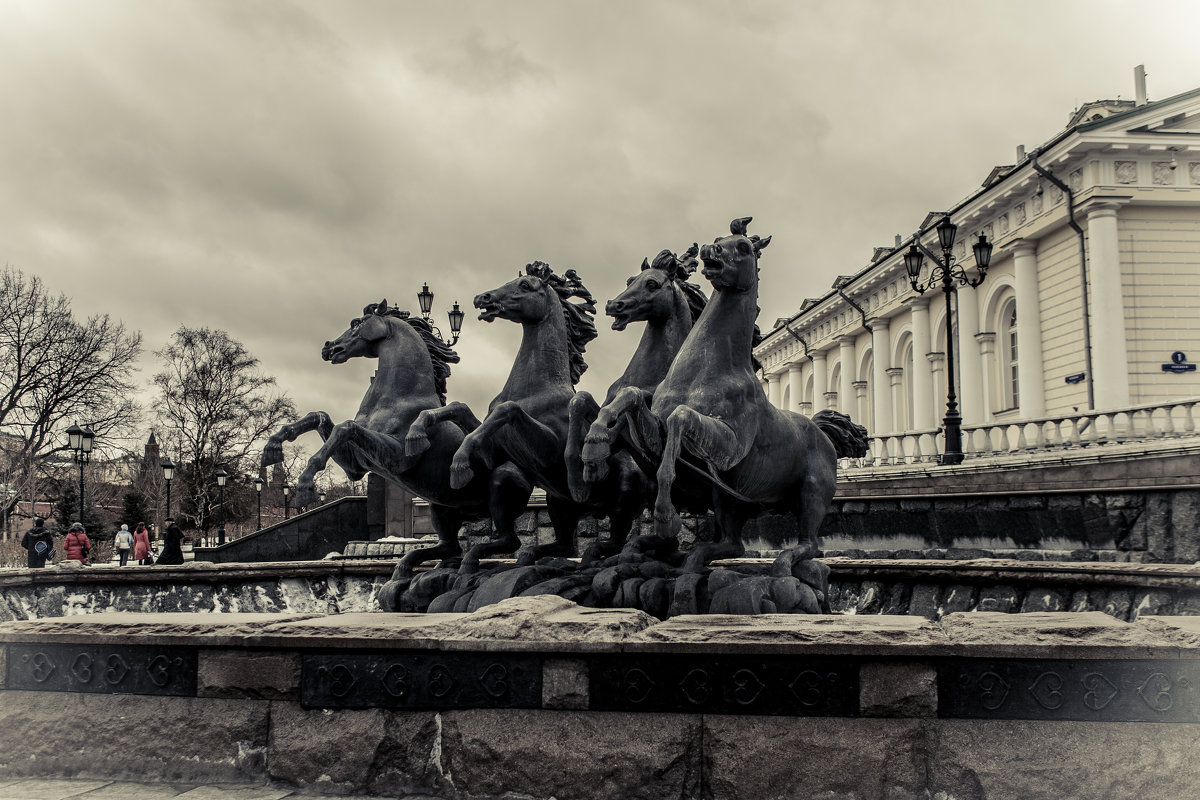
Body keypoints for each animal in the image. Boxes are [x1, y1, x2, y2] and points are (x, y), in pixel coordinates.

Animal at [580, 220, 864, 575]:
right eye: (718, 239)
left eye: (742, 247)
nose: (709, 250)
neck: (705, 368)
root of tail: (823, 432)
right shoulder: (655, 431)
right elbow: (629, 398)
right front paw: (592, 451)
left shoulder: (728, 448)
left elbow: (681, 418)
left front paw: (665, 517)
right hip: (730, 501)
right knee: (732, 543)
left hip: (810, 495)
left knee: (809, 545)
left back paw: (780, 564)